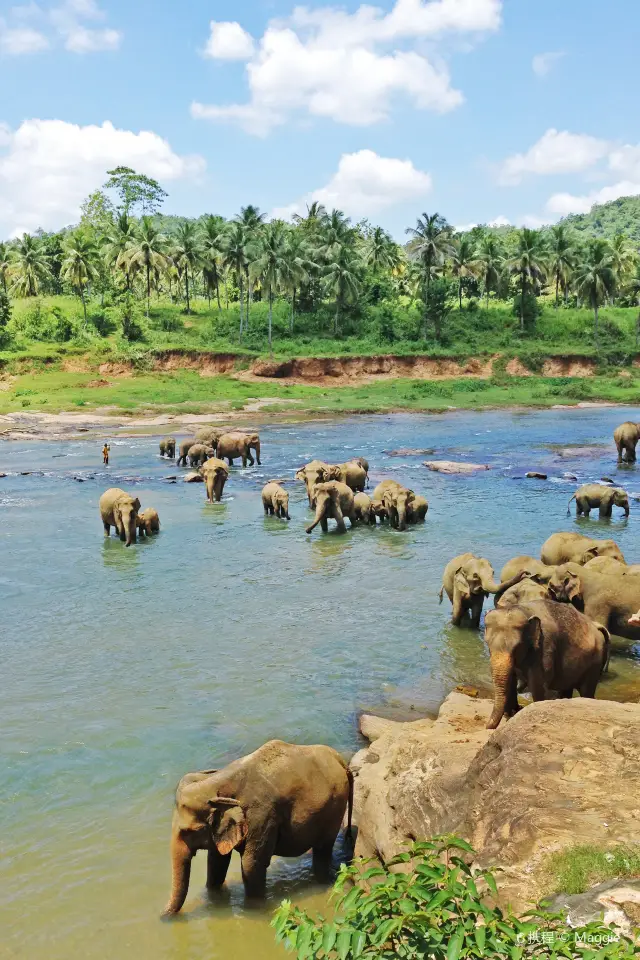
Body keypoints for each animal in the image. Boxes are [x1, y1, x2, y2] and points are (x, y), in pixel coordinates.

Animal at [162, 740, 353, 916]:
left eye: (190, 832)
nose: (162, 917)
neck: (218, 782)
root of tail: (339, 759)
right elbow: (217, 861)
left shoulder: (261, 817)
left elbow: (251, 865)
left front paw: (253, 909)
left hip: (334, 807)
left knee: (323, 849)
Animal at [484, 600, 610, 729]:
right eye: (487, 643)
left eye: (517, 647)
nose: (487, 726)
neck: (523, 610)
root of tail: (596, 626)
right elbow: (511, 680)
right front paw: (512, 713)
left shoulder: (545, 647)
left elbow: (538, 685)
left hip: (595, 664)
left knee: (586, 691)